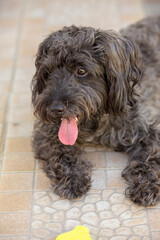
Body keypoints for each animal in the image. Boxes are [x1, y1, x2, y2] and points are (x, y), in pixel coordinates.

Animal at [31, 16, 160, 206]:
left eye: (81, 70)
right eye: (47, 72)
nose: (54, 108)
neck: (97, 121)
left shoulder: (147, 128)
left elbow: (150, 155)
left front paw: (147, 184)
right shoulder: (47, 134)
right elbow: (62, 153)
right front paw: (73, 178)